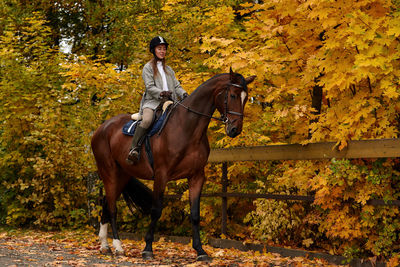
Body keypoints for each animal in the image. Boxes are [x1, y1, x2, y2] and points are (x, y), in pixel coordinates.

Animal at [90, 68, 255, 262]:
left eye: (246, 97)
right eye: (233, 95)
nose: (235, 130)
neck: (187, 128)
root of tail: (101, 128)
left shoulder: (196, 176)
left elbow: (195, 214)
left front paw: (200, 251)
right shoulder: (161, 175)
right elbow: (156, 210)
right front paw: (147, 248)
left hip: (122, 175)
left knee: (107, 204)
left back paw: (105, 246)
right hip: (109, 171)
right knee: (112, 208)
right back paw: (118, 246)